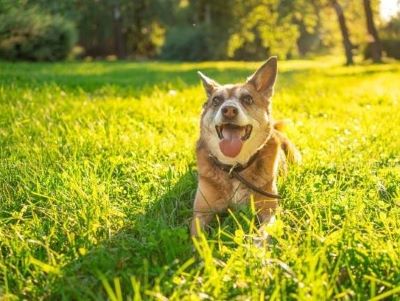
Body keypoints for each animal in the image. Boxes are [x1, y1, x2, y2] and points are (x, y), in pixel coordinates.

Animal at [191, 56, 300, 237]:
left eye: (247, 99)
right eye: (216, 100)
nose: (229, 110)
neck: (234, 168)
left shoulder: (269, 211)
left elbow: (263, 234)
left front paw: (255, 244)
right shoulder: (201, 213)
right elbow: (197, 237)